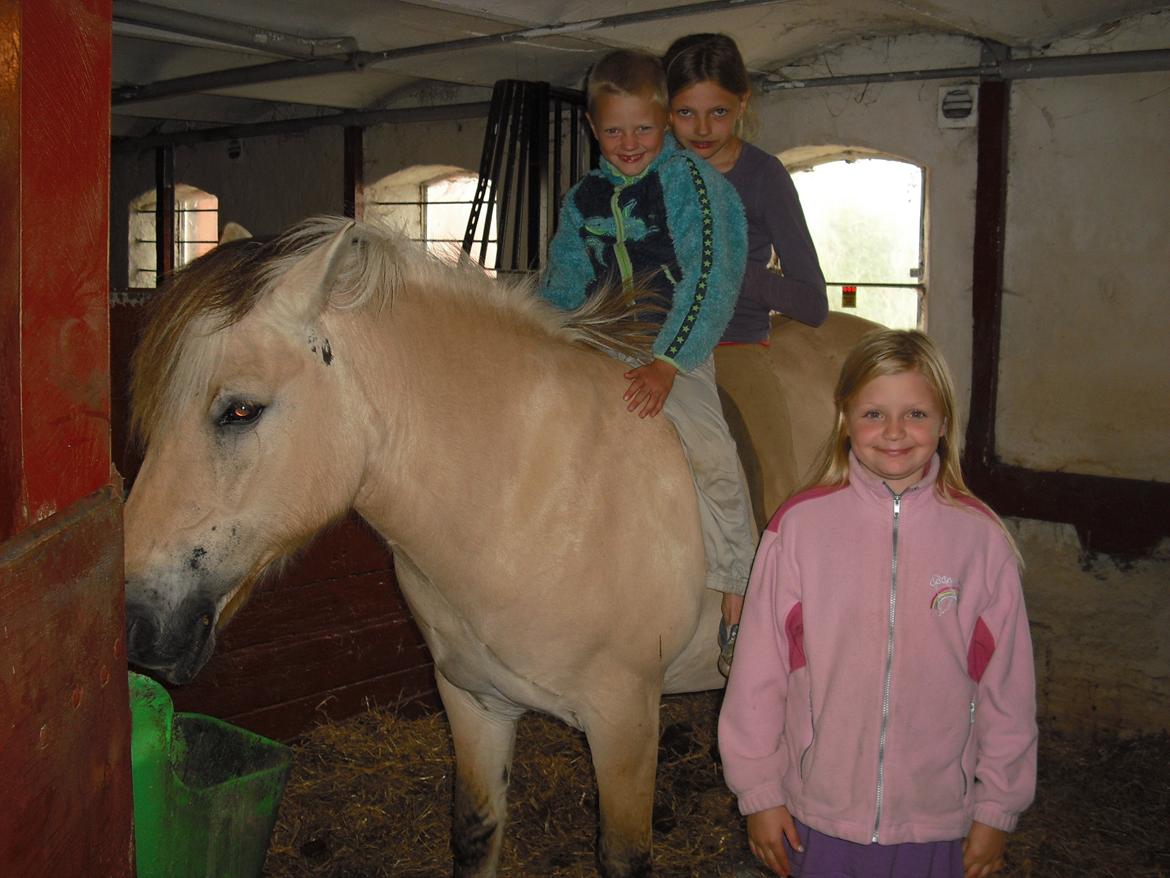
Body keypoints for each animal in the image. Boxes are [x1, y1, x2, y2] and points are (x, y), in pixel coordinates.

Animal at [123, 218, 879, 878]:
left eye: (240, 410)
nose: (134, 621)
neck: (527, 491)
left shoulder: (626, 722)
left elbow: (622, 856)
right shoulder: (473, 703)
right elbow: (474, 833)